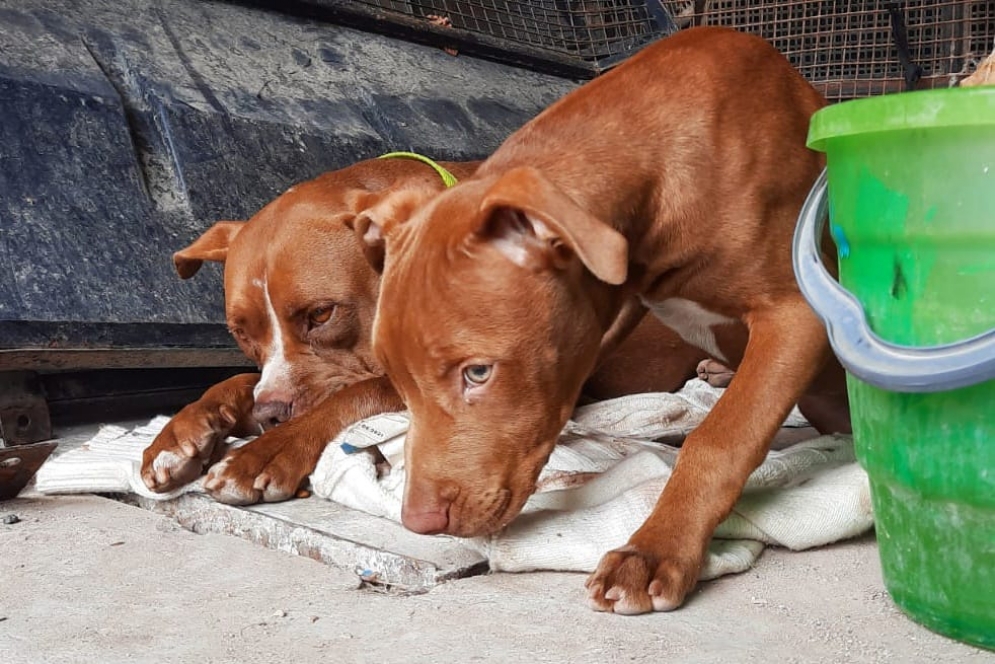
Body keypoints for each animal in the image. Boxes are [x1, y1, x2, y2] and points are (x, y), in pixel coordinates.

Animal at [142, 158, 708, 506]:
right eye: (241, 331)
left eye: (321, 314)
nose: (269, 416)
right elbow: (239, 381)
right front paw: (181, 434)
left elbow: (354, 395)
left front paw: (267, 452)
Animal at [356, 27, 848, 616]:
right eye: (397, 377)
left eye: (478, 373)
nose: (419, 523)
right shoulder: (609, 309)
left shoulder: (796, 314)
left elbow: (719, 438)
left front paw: (654, 550)